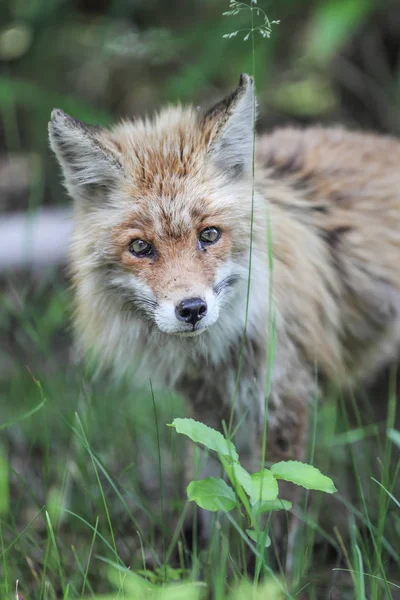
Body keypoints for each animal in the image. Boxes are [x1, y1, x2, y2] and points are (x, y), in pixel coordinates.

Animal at [48, 71, 400, 556]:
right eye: (140, 247)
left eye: (209, 235)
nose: (191, 309)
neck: (215, 353)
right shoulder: (205, 408)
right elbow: (209, 494)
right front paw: (202, 561)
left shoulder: (284, 397)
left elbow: (276, 508)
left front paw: (268, 569)